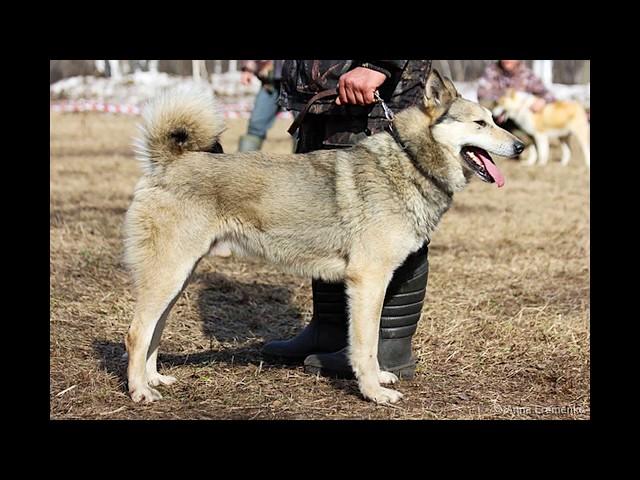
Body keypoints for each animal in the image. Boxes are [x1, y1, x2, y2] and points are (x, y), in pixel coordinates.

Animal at [122, 69, 524, 404]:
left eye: (494, 121)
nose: (520, 146)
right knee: (137, 333)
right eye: (480, 123)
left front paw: (379, 378)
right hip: (169, 274)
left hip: (178, 278)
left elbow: (373, 340)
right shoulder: (368, 281)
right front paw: (373, 392)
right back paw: (140, 390)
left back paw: (154, 379)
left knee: (154, 331)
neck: (410, 159)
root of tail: (168, 163)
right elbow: (365, 344)